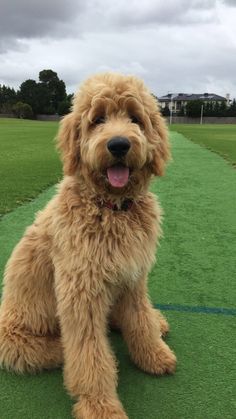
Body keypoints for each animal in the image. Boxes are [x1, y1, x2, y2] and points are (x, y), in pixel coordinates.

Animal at [0, 74, 175, 418]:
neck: (112, 207)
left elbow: (139, 320)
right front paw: (100, 406)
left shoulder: (133, 277)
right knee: (60, 351)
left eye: (135, 118)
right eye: (98, 120)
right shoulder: (81, 292)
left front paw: (154, 354)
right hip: (17, 340)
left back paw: (156, 321)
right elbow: (90, 354)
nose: (119, 144)